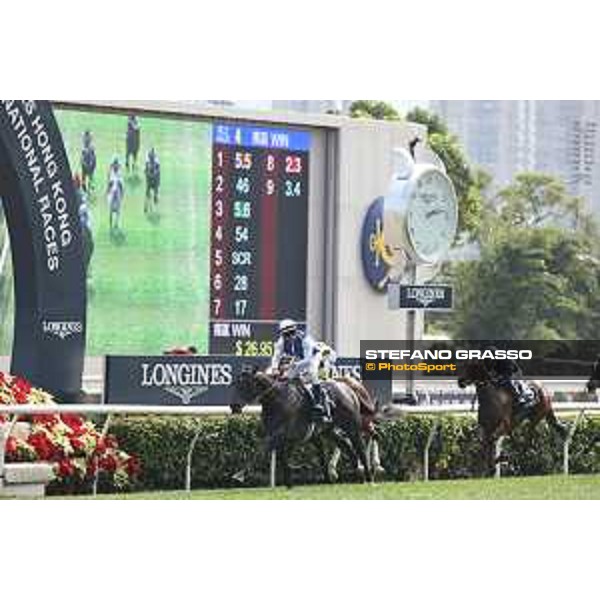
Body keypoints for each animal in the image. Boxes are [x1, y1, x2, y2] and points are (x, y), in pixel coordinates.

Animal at [234, 366, 376, 488]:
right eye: (236, 384)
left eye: (246, 384)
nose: (235, 406)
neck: (277, 400)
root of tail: (346, 386)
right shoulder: (282, 436)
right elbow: (282, 457)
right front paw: (289, 483)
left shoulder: (283, 434)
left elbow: (262, 449)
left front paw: (239, 475)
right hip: (329, 431)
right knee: (346, 446)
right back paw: (354, 474)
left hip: (352, 428)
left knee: (360, 448)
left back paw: (368, 477)